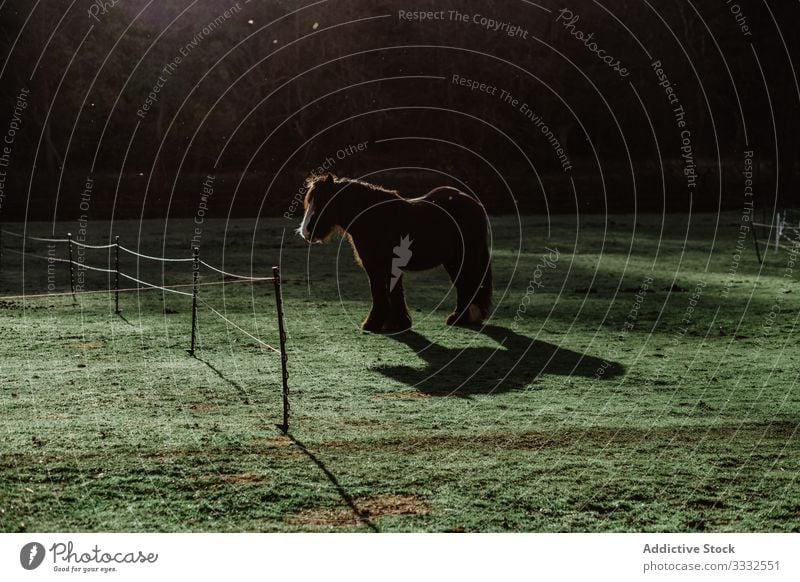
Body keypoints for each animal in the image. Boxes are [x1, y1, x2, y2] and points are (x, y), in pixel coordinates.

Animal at [296, 173, 490, 334]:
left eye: (323, 202)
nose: (306, 231)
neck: (374, 218)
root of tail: (476, 204)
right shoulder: (377, 265)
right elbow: (388, 291)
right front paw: (396, 323)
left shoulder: (382, 264)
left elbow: (383, 291)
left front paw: (374, 323)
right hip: (453, 261)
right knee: (464, 286)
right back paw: (461, 318)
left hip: (465, 258)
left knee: (469, 285)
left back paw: (459, 318)